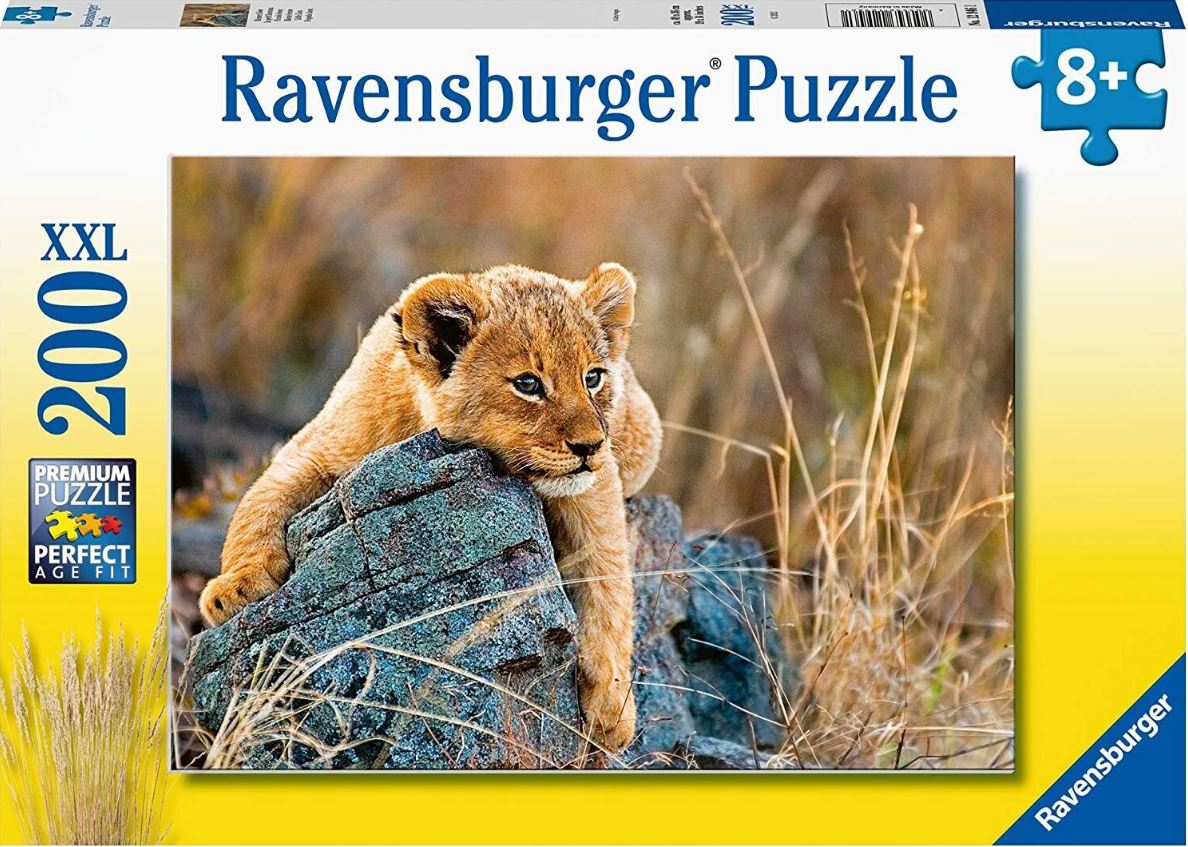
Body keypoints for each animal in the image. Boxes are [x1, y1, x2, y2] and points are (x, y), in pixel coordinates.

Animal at [199, 263, 662, 752]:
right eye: (528, 384)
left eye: (593, 377)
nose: (590, 445)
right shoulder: (316, 447)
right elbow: (258, 502)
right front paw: (234, 589)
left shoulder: (595, 487)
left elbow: (608, 582)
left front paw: (612, 708)